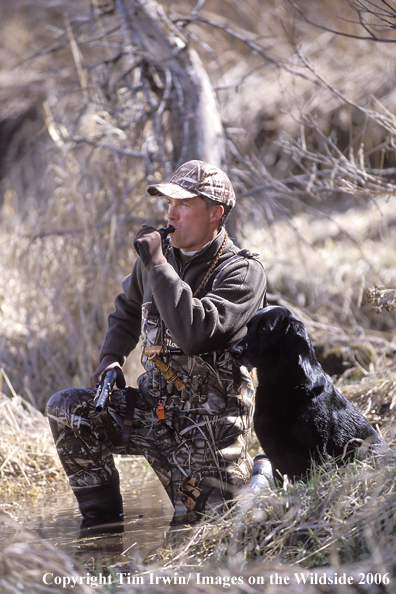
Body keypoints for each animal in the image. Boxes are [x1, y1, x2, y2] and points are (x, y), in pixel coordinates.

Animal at [232, 306, 392, 480]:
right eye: (248, 328)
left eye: (264, 330)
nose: (233, 351)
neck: (282, 388)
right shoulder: (273, 452)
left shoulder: (318, 452)